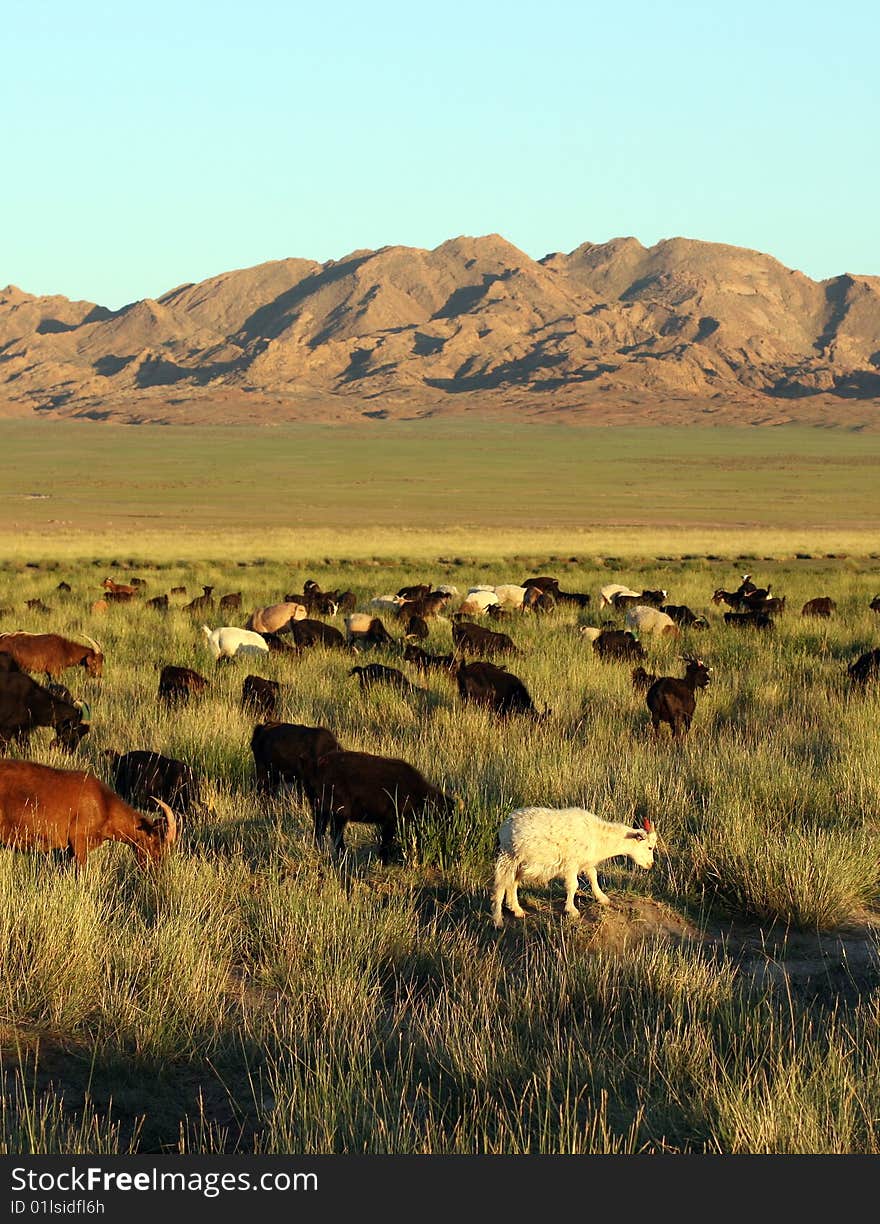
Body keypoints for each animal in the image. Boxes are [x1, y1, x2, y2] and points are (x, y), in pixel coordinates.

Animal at [492, 807, 656, 920]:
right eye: (650, 847)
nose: (651, 864)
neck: (598, 836)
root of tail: (506, 823)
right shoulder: (571, 864)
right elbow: (573, 885)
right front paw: (571, 910)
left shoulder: (586, 862)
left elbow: (593, 876)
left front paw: (602, 898)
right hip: (509, 857)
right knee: (503, 884)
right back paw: (501, 918)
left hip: (521, 864)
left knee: (512, 883)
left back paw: (517, 910)